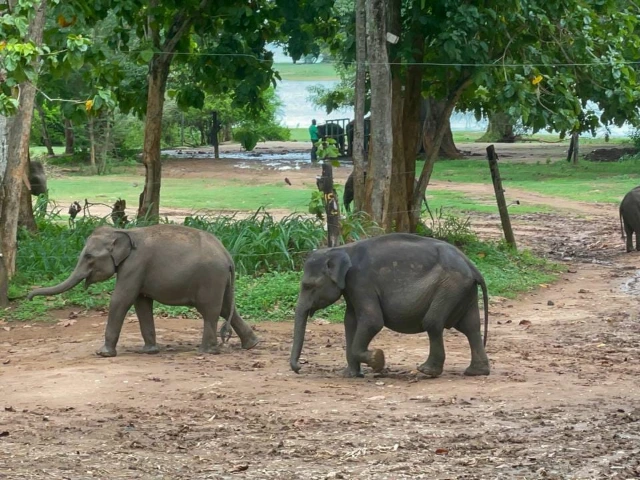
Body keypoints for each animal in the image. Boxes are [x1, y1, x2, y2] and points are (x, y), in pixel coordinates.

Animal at [27, 224, 260, 357]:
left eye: (89, 256)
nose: (29, 296)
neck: (123, 231)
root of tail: (227, 255)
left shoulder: (135, 265)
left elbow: (121, 299)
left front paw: (103, 354)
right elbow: (141, 303)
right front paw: (150, 351)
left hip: (210, 278)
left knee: (210, 310)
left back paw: (206, 351)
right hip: (221, 280)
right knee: (226, 308)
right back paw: (251, 345)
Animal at [290, 233, 490, 378]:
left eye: (308, 286)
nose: (299, 368)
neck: (341, 249)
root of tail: (471, 265)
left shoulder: (360, 281)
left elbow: (372, 321)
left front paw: (378, 360)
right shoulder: (352, 288)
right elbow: (350, 321)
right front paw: (351, 374)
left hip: (450, 286)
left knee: (433, 322)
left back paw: (426, 371)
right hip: (463, 290)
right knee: (470, 326)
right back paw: (476, 372)